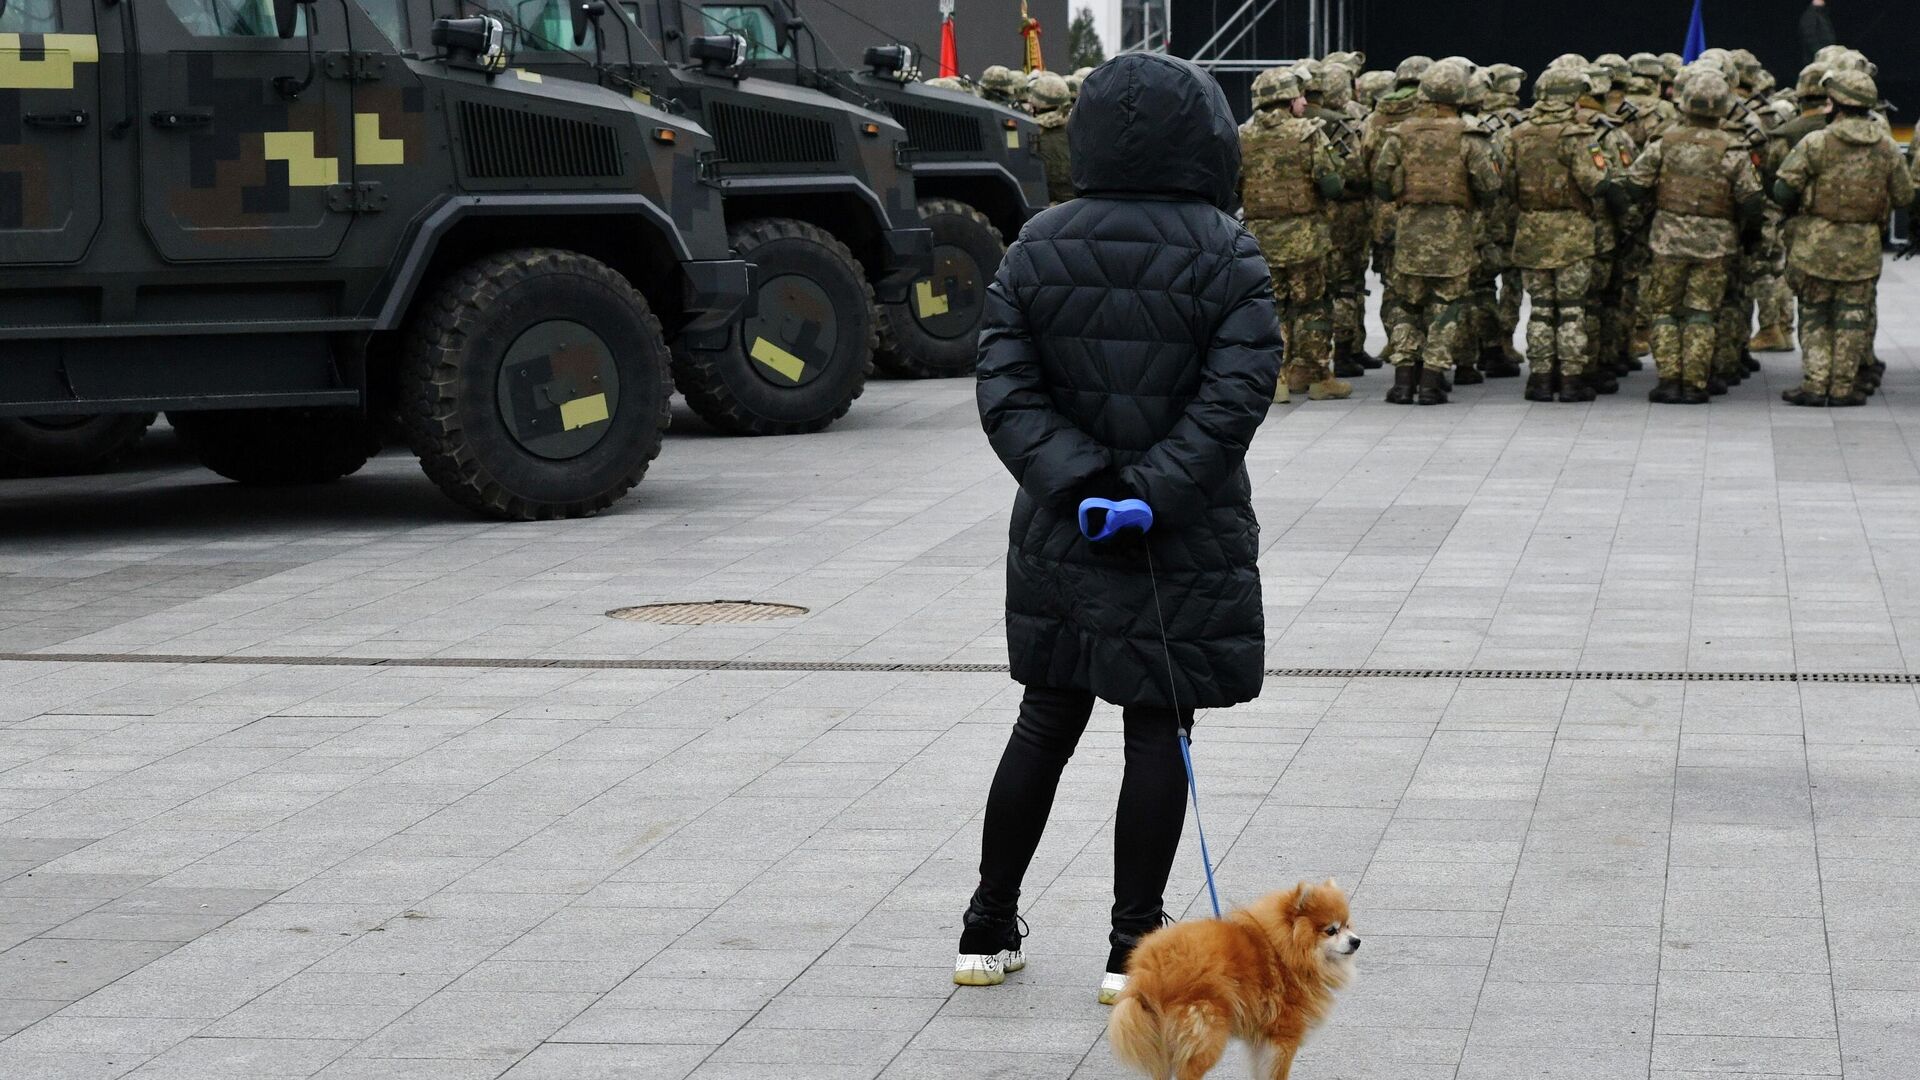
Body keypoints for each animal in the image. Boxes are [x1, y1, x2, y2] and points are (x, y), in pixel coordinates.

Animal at [1105, 876, 1359, 1076]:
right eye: (1331, 930)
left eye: (1348, 925)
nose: (1356, 941)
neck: (1285, 952)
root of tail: (1150, 970)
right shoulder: (1283, 1037)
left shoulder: (1262, 1041)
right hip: (1209, 1031)